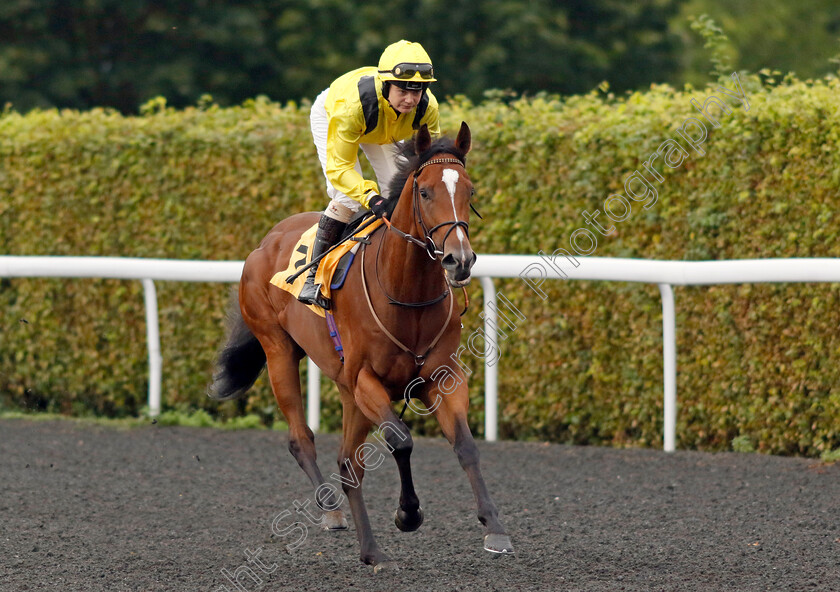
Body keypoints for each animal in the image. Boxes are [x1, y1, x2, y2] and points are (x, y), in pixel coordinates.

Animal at [210, 122, 512, 572]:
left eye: (469, 190)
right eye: (425, 192)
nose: (459, 260)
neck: (407, 293)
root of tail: (265, 242)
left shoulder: (442, 378)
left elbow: (467, 446)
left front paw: (494, 527)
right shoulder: (367, 380)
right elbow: (401, 440)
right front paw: (407, 514)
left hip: (344, 387)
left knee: (348, 461)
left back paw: (369, 547)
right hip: (280, 351)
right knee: (302, 438)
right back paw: (334, 512)